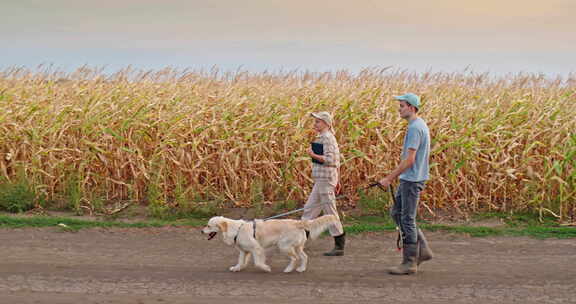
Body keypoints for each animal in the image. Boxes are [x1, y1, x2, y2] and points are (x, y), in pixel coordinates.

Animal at [201, 214, 338, 274]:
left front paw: (266, 268)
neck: (236, 229)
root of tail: (298, 222)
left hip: (284, 246)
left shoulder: (256, 248)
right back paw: (301, 269)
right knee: (304, 257)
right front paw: (237, 268)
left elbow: (258, 263)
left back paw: (288, 269)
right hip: (297, 246)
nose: (201, 231)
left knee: (295, 258)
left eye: (208, 226)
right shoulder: (244, 251)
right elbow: (240, 261)